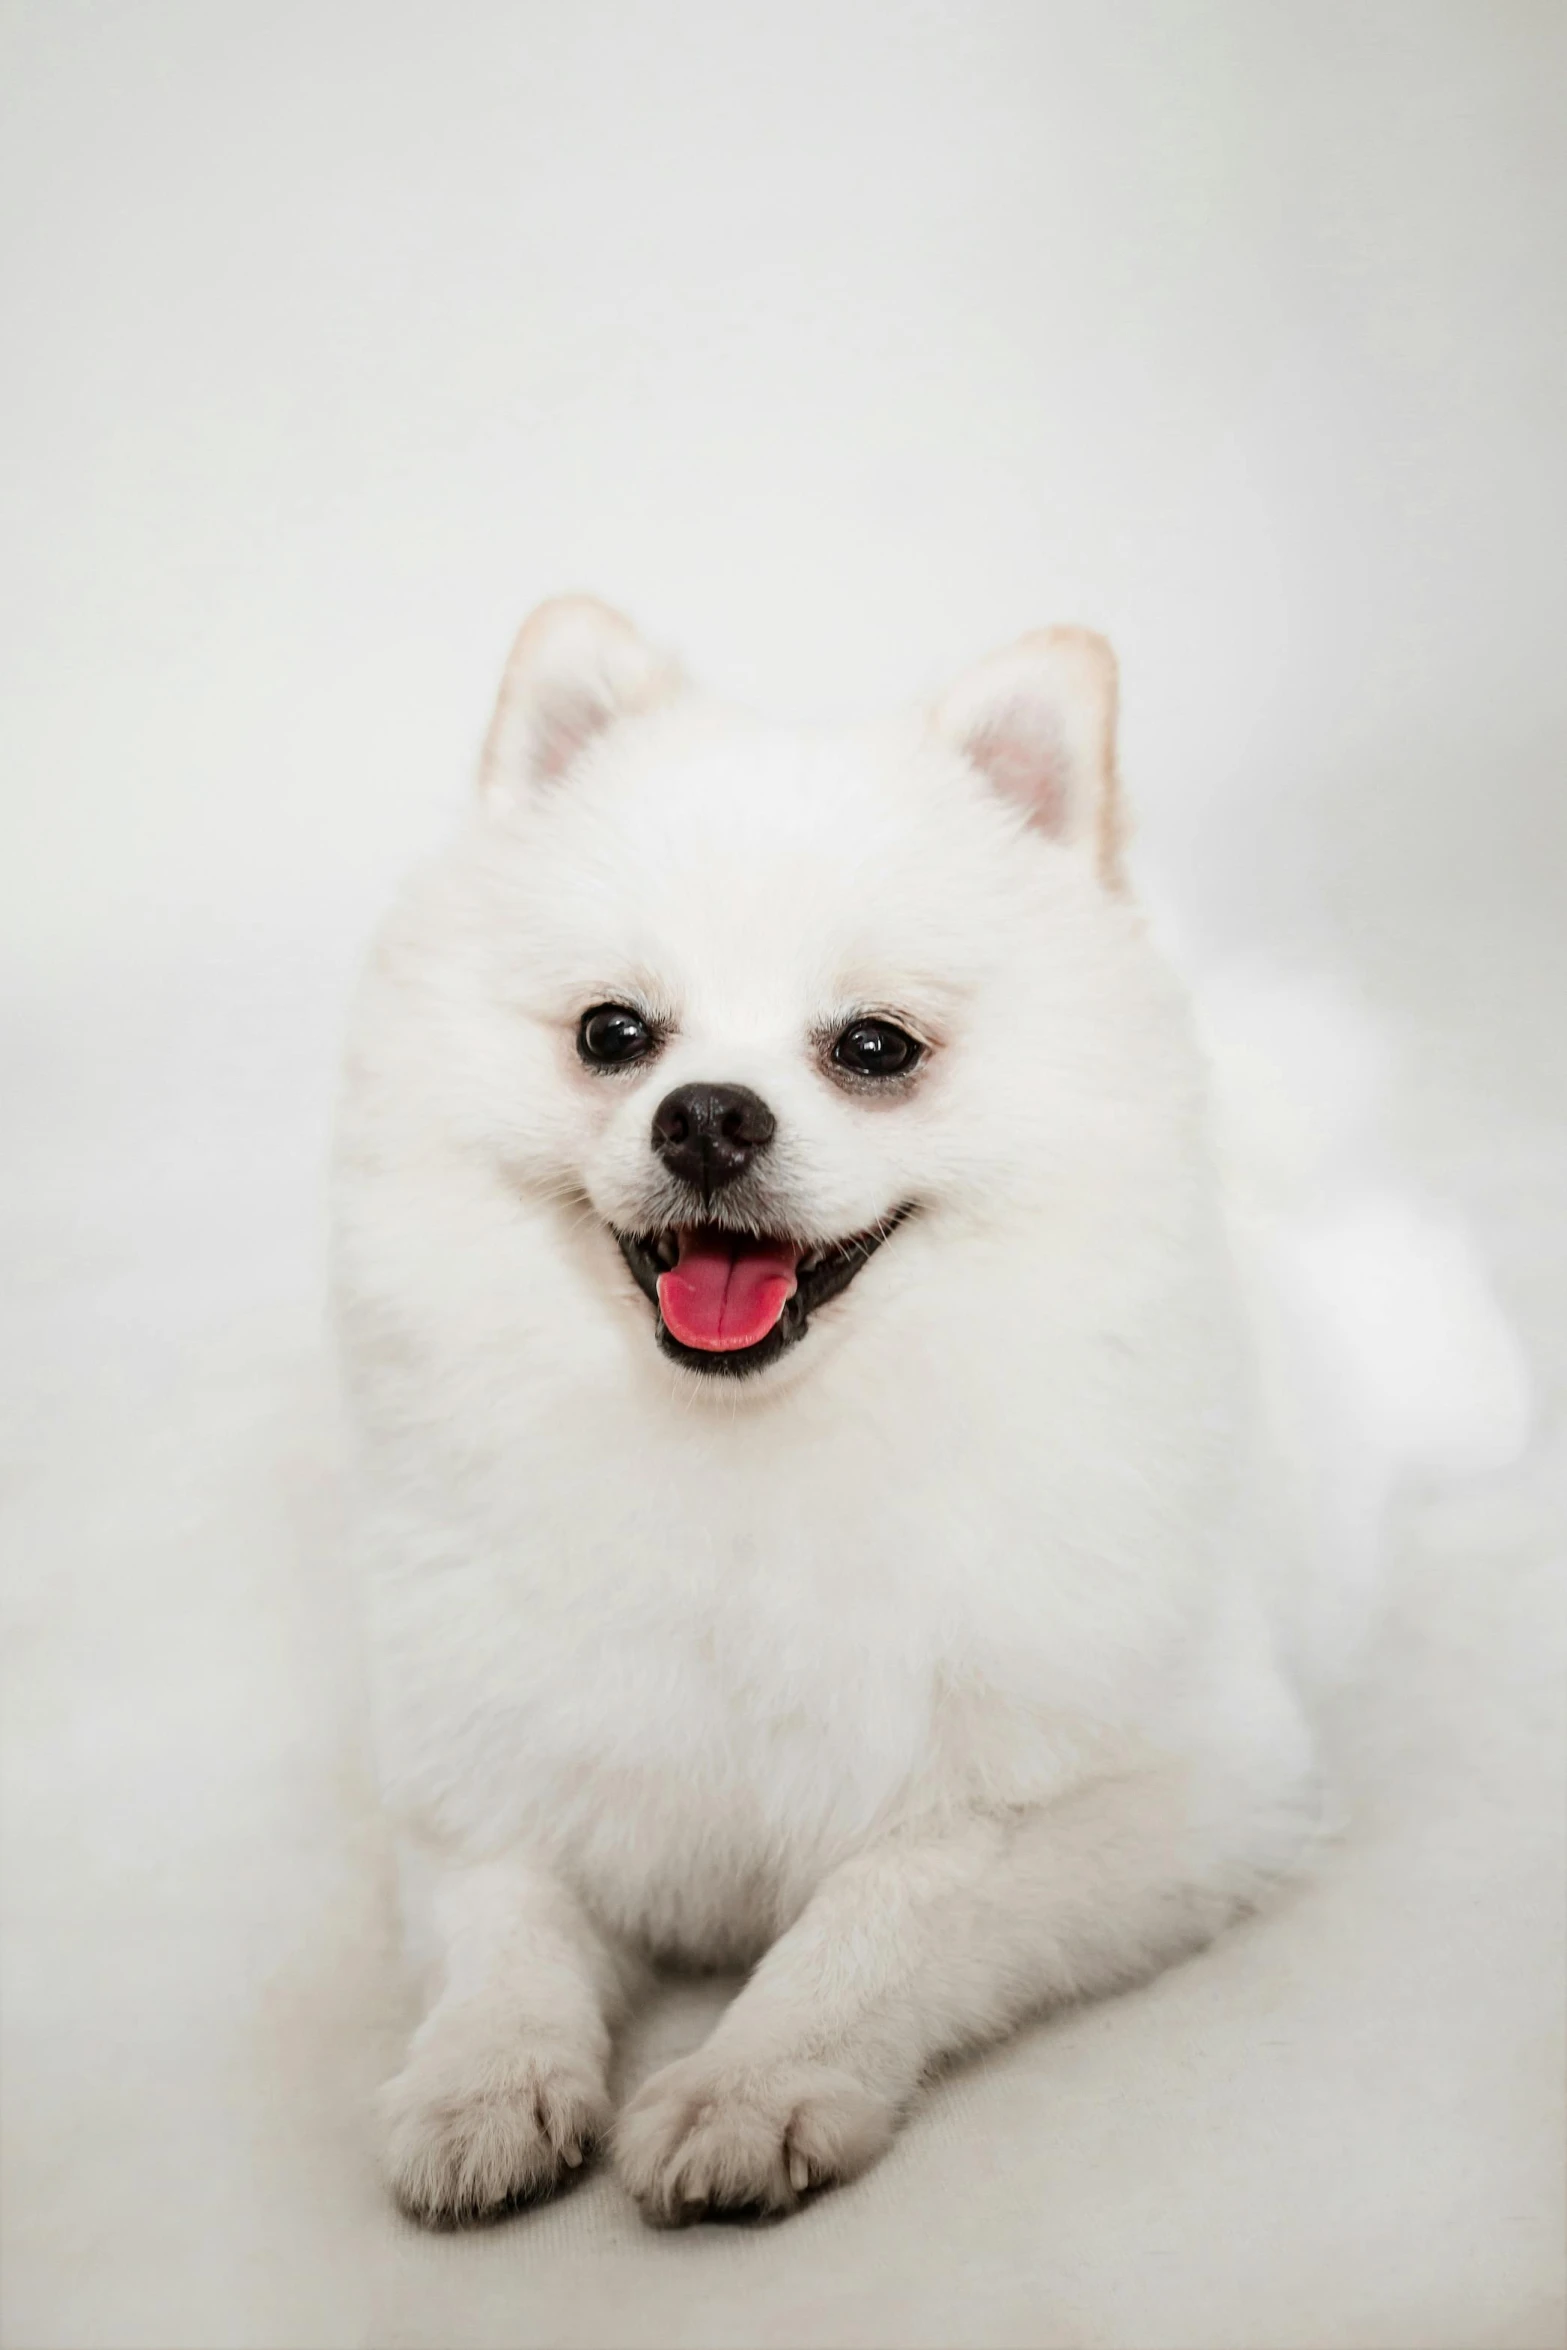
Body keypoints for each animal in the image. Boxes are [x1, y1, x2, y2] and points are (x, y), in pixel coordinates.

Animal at [331, 596, 1522, 2227]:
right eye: (613, 1034)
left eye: (874, 1046)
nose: (707, 1114)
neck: (752, 1458)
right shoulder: (481, 1777)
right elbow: (503, 1925)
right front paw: (483, 2078)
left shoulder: (1163, 1786)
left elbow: (884, 1899)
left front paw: (753, 2081)